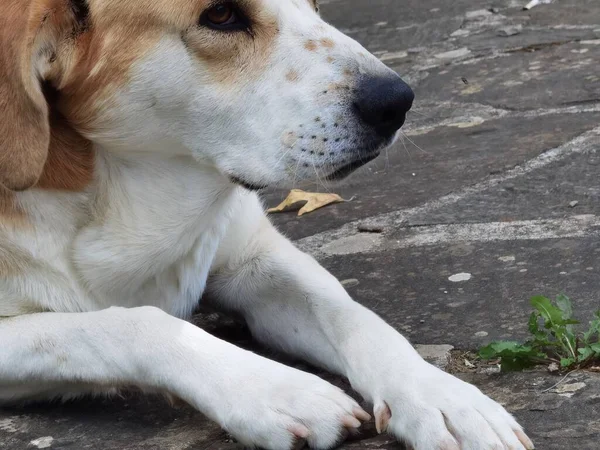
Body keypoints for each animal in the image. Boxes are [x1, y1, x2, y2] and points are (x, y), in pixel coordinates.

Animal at [0, 0, 536, 448]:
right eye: (220, 15)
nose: (398, 102)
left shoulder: (254, 259)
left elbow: (352, 316)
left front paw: (443, 397)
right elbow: (129, 323)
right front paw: (277, 391)